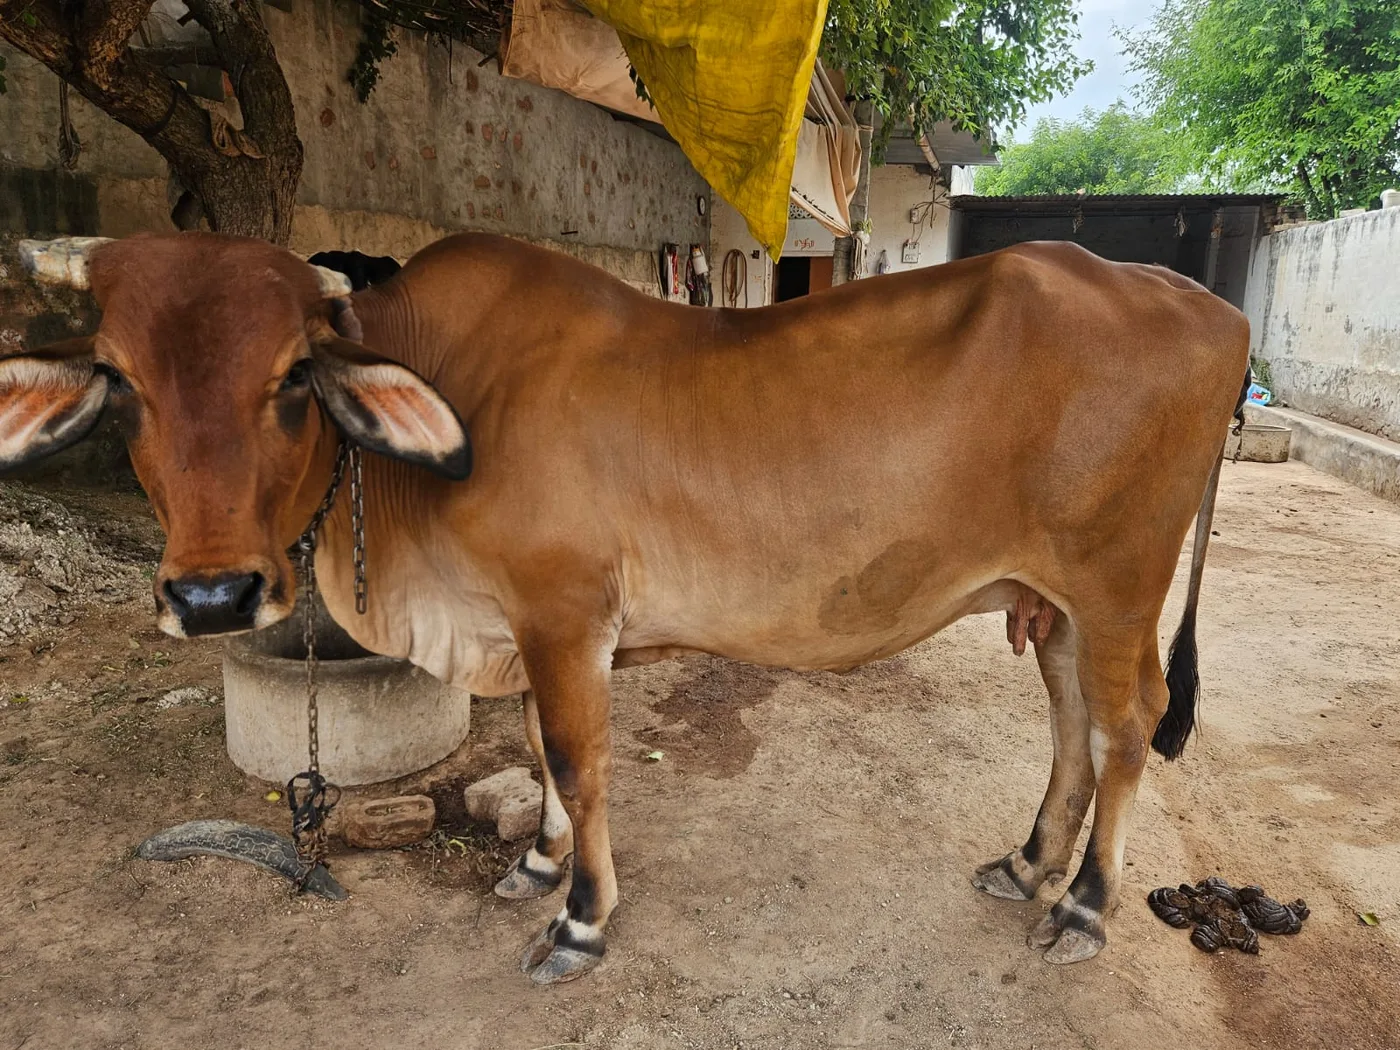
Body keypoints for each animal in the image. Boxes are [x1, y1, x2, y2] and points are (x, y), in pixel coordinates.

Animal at [0, 231, 1249, 983]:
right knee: (1069, 725)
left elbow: (575, 756)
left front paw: (579, 917)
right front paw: (539, 862)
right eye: (122, 384)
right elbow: (539, 754)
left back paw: (1082, 906)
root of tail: (1211, 311)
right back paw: (1027, 864)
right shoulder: (521, 628)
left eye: (292, 381)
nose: (213, 593)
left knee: (1123, 726)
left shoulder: (563, 616)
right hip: (1053, 600)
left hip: (1114, 585)